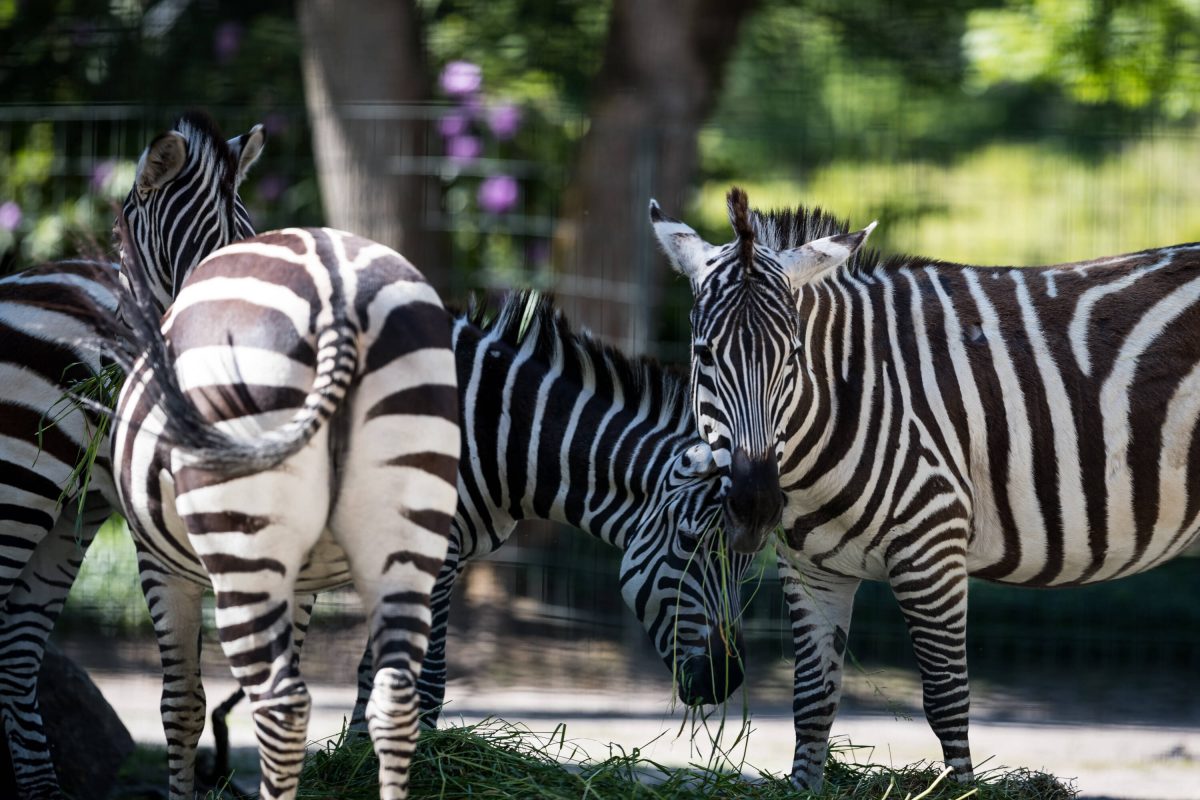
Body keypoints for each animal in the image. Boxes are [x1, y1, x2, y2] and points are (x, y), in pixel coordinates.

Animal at [110, 225, 460, 800]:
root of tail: (339, 297)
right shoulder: (303, 584)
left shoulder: (157, 565)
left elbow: (180, 705)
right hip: (406, 536)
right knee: (394, 702)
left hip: (242, 545)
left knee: (281, 706)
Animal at [652, 185, 1200, 786]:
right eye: (703, 355)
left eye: (794, 357)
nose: (755, 506)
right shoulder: (811, 571)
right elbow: (812, 699)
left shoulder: (931, 549)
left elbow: (946, 699)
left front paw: (961, 790)